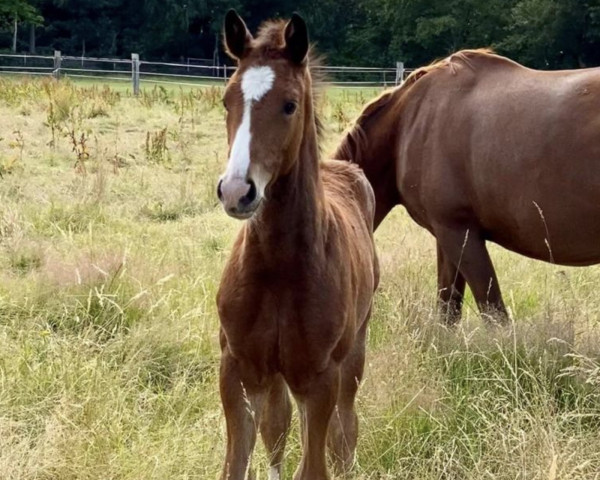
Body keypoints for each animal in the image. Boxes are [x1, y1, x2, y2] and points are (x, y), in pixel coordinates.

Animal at [217, 9, 380, 480]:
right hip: (275, 375)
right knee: (277, 426)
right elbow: (241, 459)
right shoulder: (238, 367)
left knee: (345, 431)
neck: (278, 267)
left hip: (353, 354)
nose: (237, 191)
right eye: (227, 101)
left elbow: (316, 463)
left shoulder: (319, 377)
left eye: (289, 105)